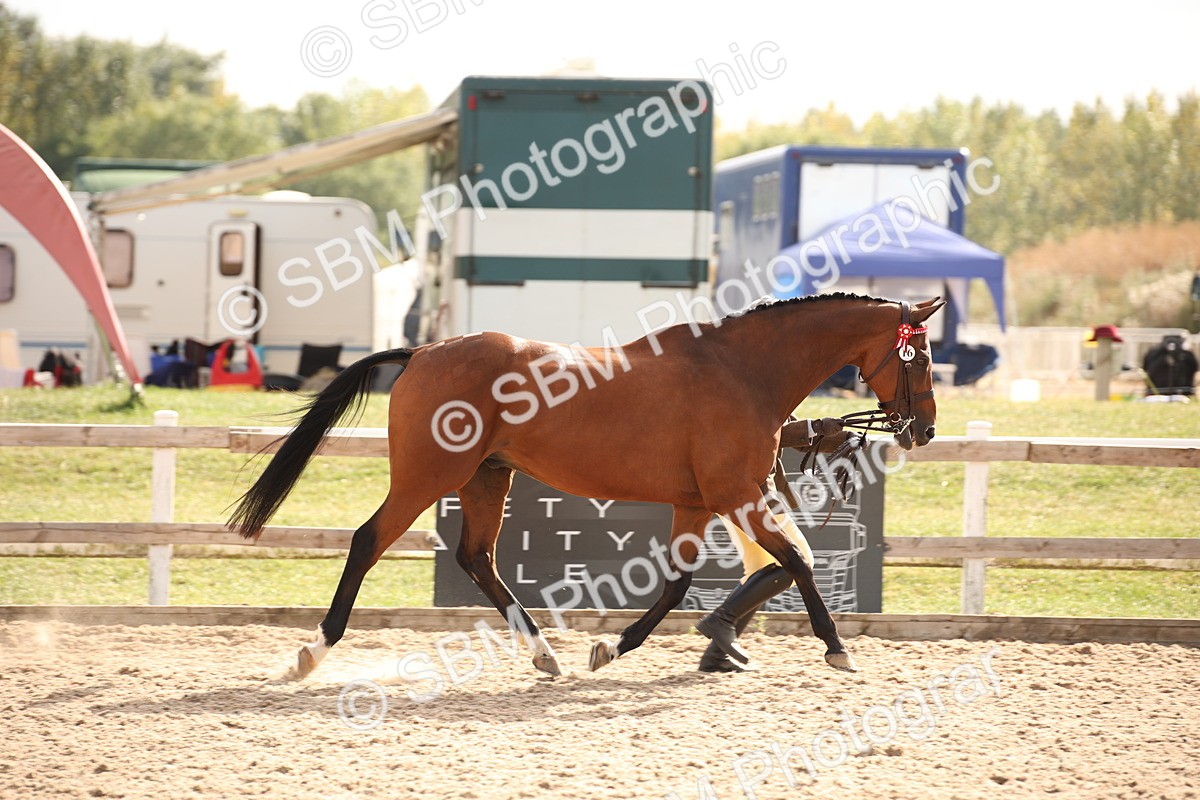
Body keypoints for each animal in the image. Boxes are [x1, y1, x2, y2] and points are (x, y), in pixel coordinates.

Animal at [228, 292, 945, 679]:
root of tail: (424, 351)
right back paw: (310, 653)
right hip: (429, 476)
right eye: (922, 358)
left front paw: (613, 645)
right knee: (366, 541)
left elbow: (682, 584)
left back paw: (546, 655)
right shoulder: (734, 495)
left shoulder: (695, 503)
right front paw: (838, 650)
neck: (741, 370)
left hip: (487, 477)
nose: (925, 429)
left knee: (477, 559)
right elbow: (796, 559)